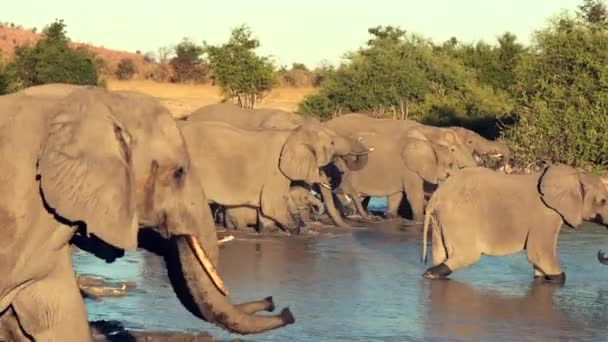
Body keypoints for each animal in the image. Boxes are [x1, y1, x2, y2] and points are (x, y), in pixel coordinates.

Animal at [179, 119, 370, 234]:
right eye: (331, 142)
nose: (351, 228)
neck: (291, 133)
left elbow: (266, 210)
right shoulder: (275, 169)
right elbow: (273, 205)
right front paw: (295, 230)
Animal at [420, 164, 608, 284]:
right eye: (603, 201)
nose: (600, 252)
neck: (576, 174)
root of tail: (434, 199)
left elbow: (539, 266)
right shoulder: (546, 215)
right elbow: (539, 254)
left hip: (441, 220)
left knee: (441, 254)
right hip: (459, 217)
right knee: (466, 256)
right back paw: (430, 274)